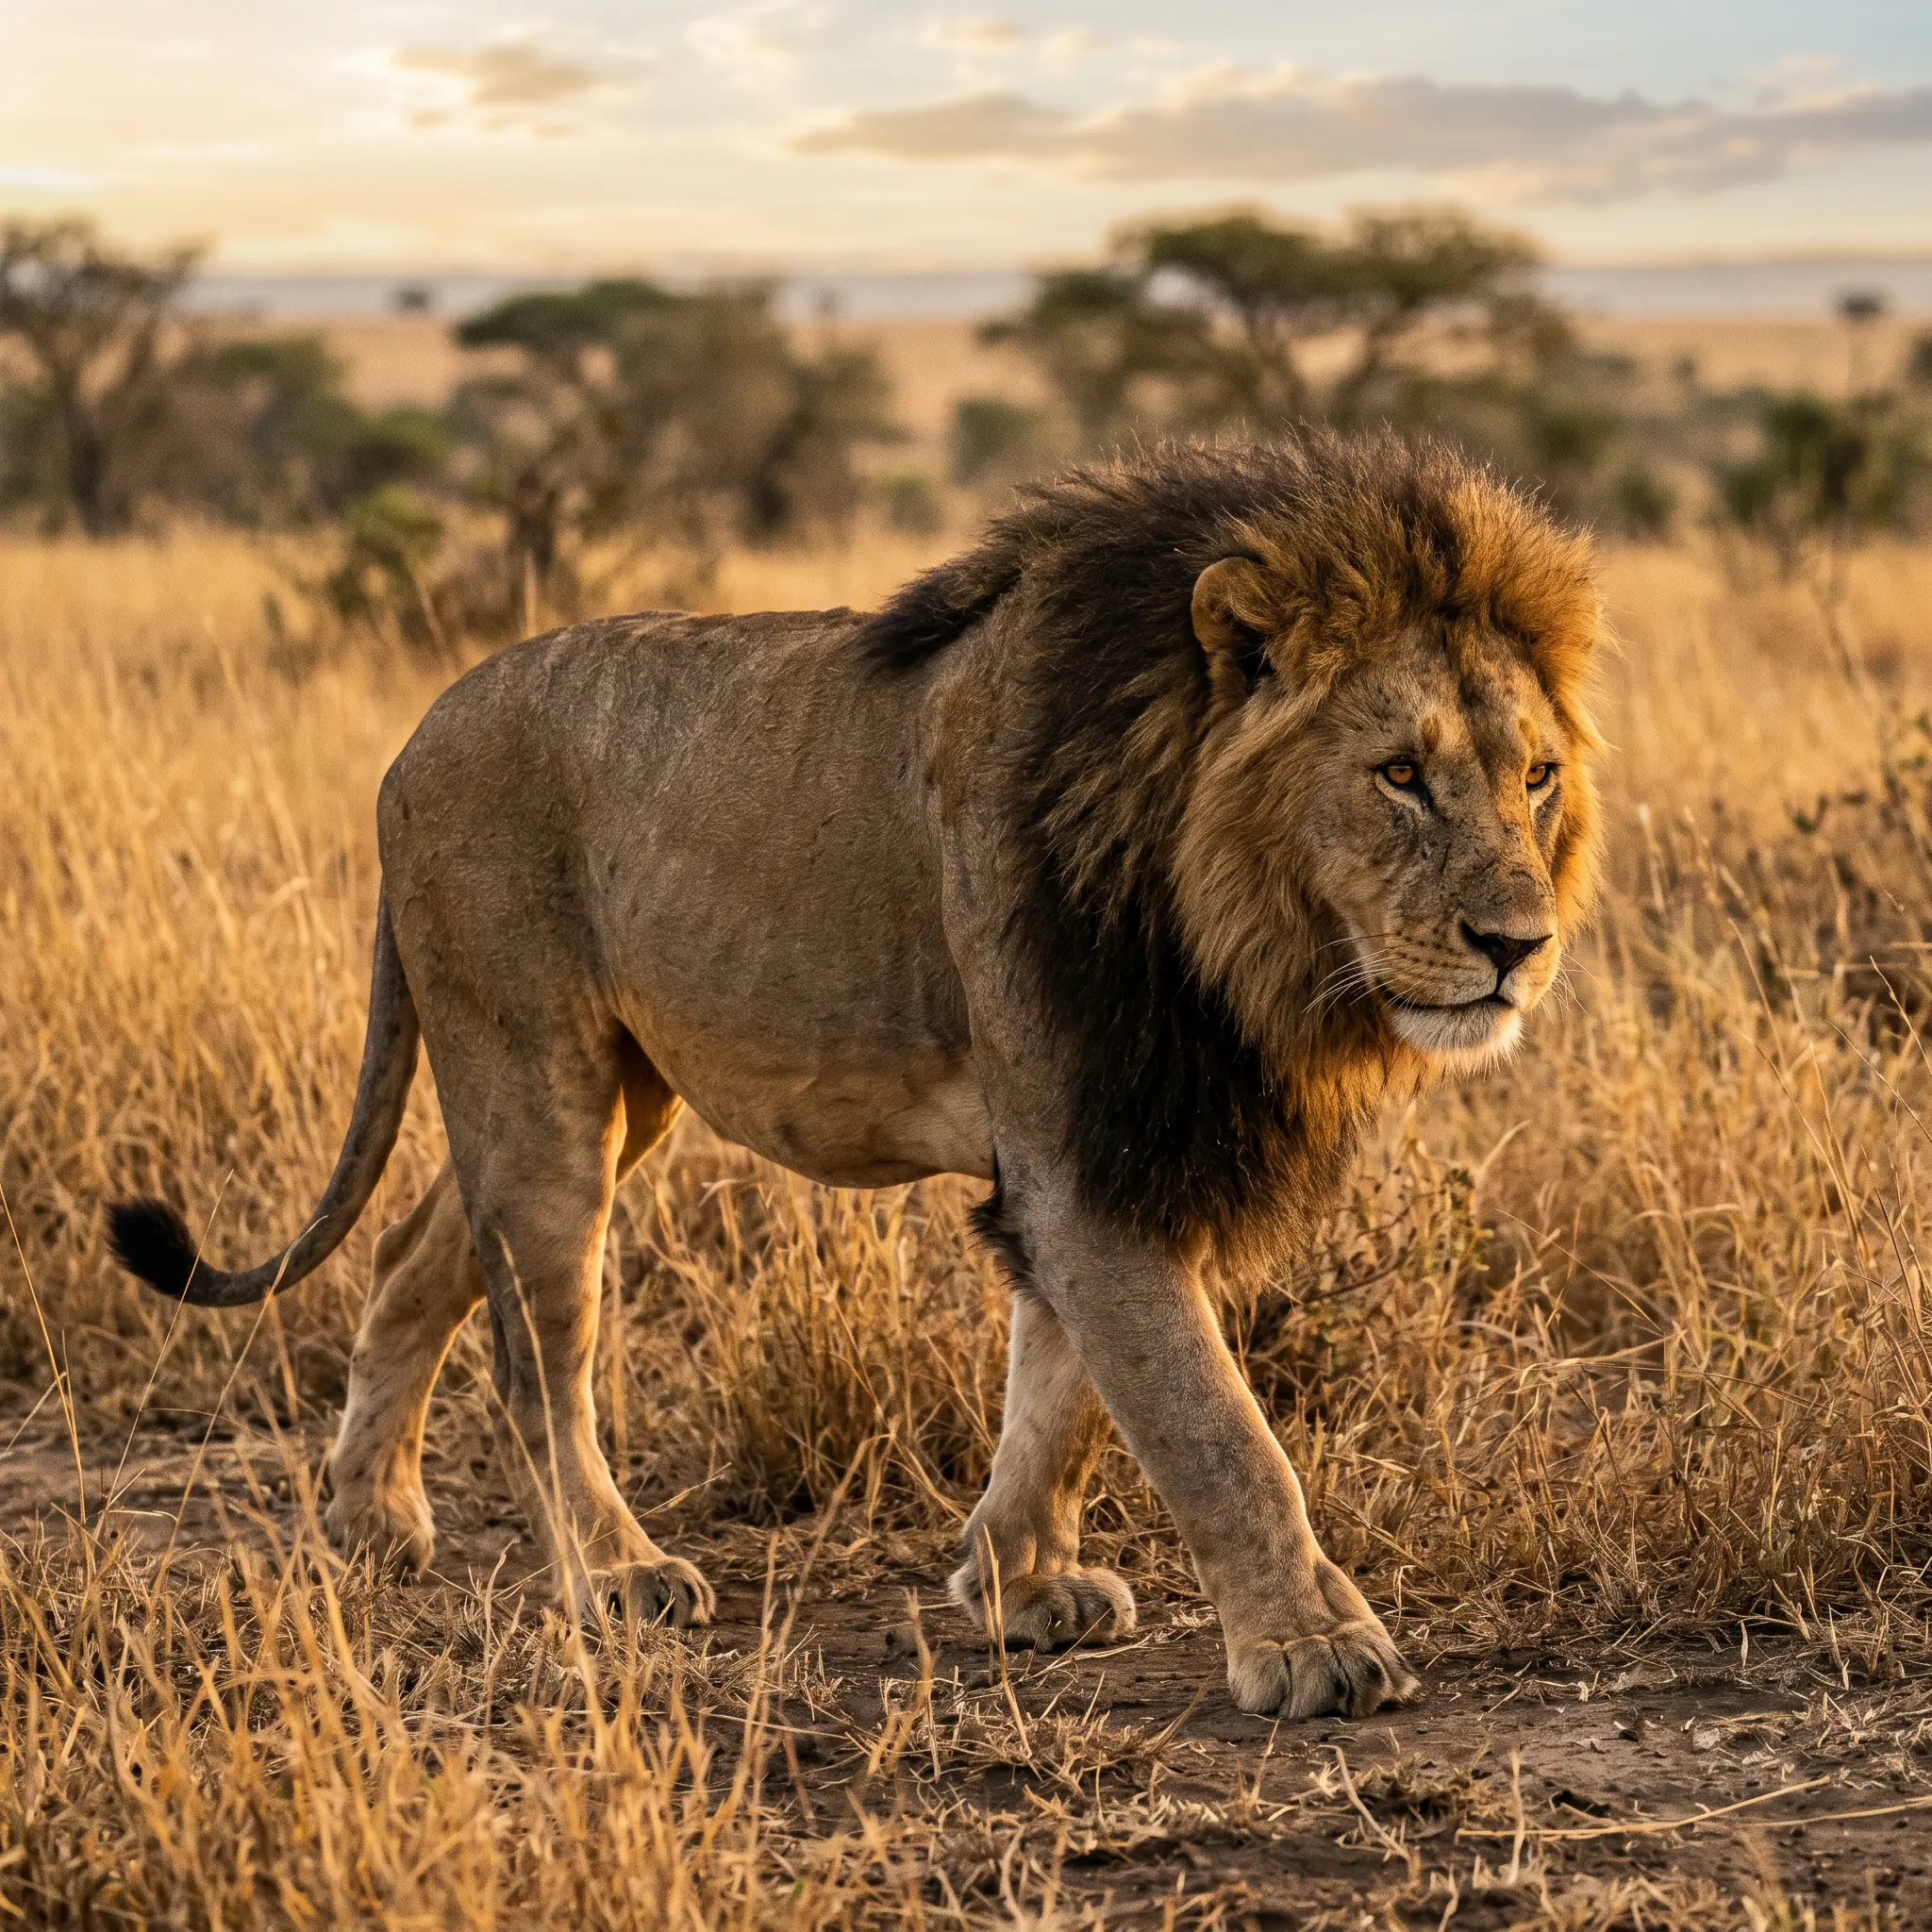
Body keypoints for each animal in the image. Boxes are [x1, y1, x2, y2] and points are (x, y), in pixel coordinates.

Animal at [110, 431, 1601, 1721]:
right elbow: (1211, 1423)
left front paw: (1015, 1582)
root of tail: (416, 736)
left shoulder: (1104, 1135)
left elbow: (1064, 1392)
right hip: (534, 1077)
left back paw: (369, 1514)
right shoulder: (1086, 1150)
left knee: (416, 1249)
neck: (1225, 925)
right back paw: (613, 1571)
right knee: (539, 1349)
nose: (1518, 947)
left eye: (1534, 776)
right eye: (1398, 773)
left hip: (622, 1091)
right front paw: (1311, 1646)